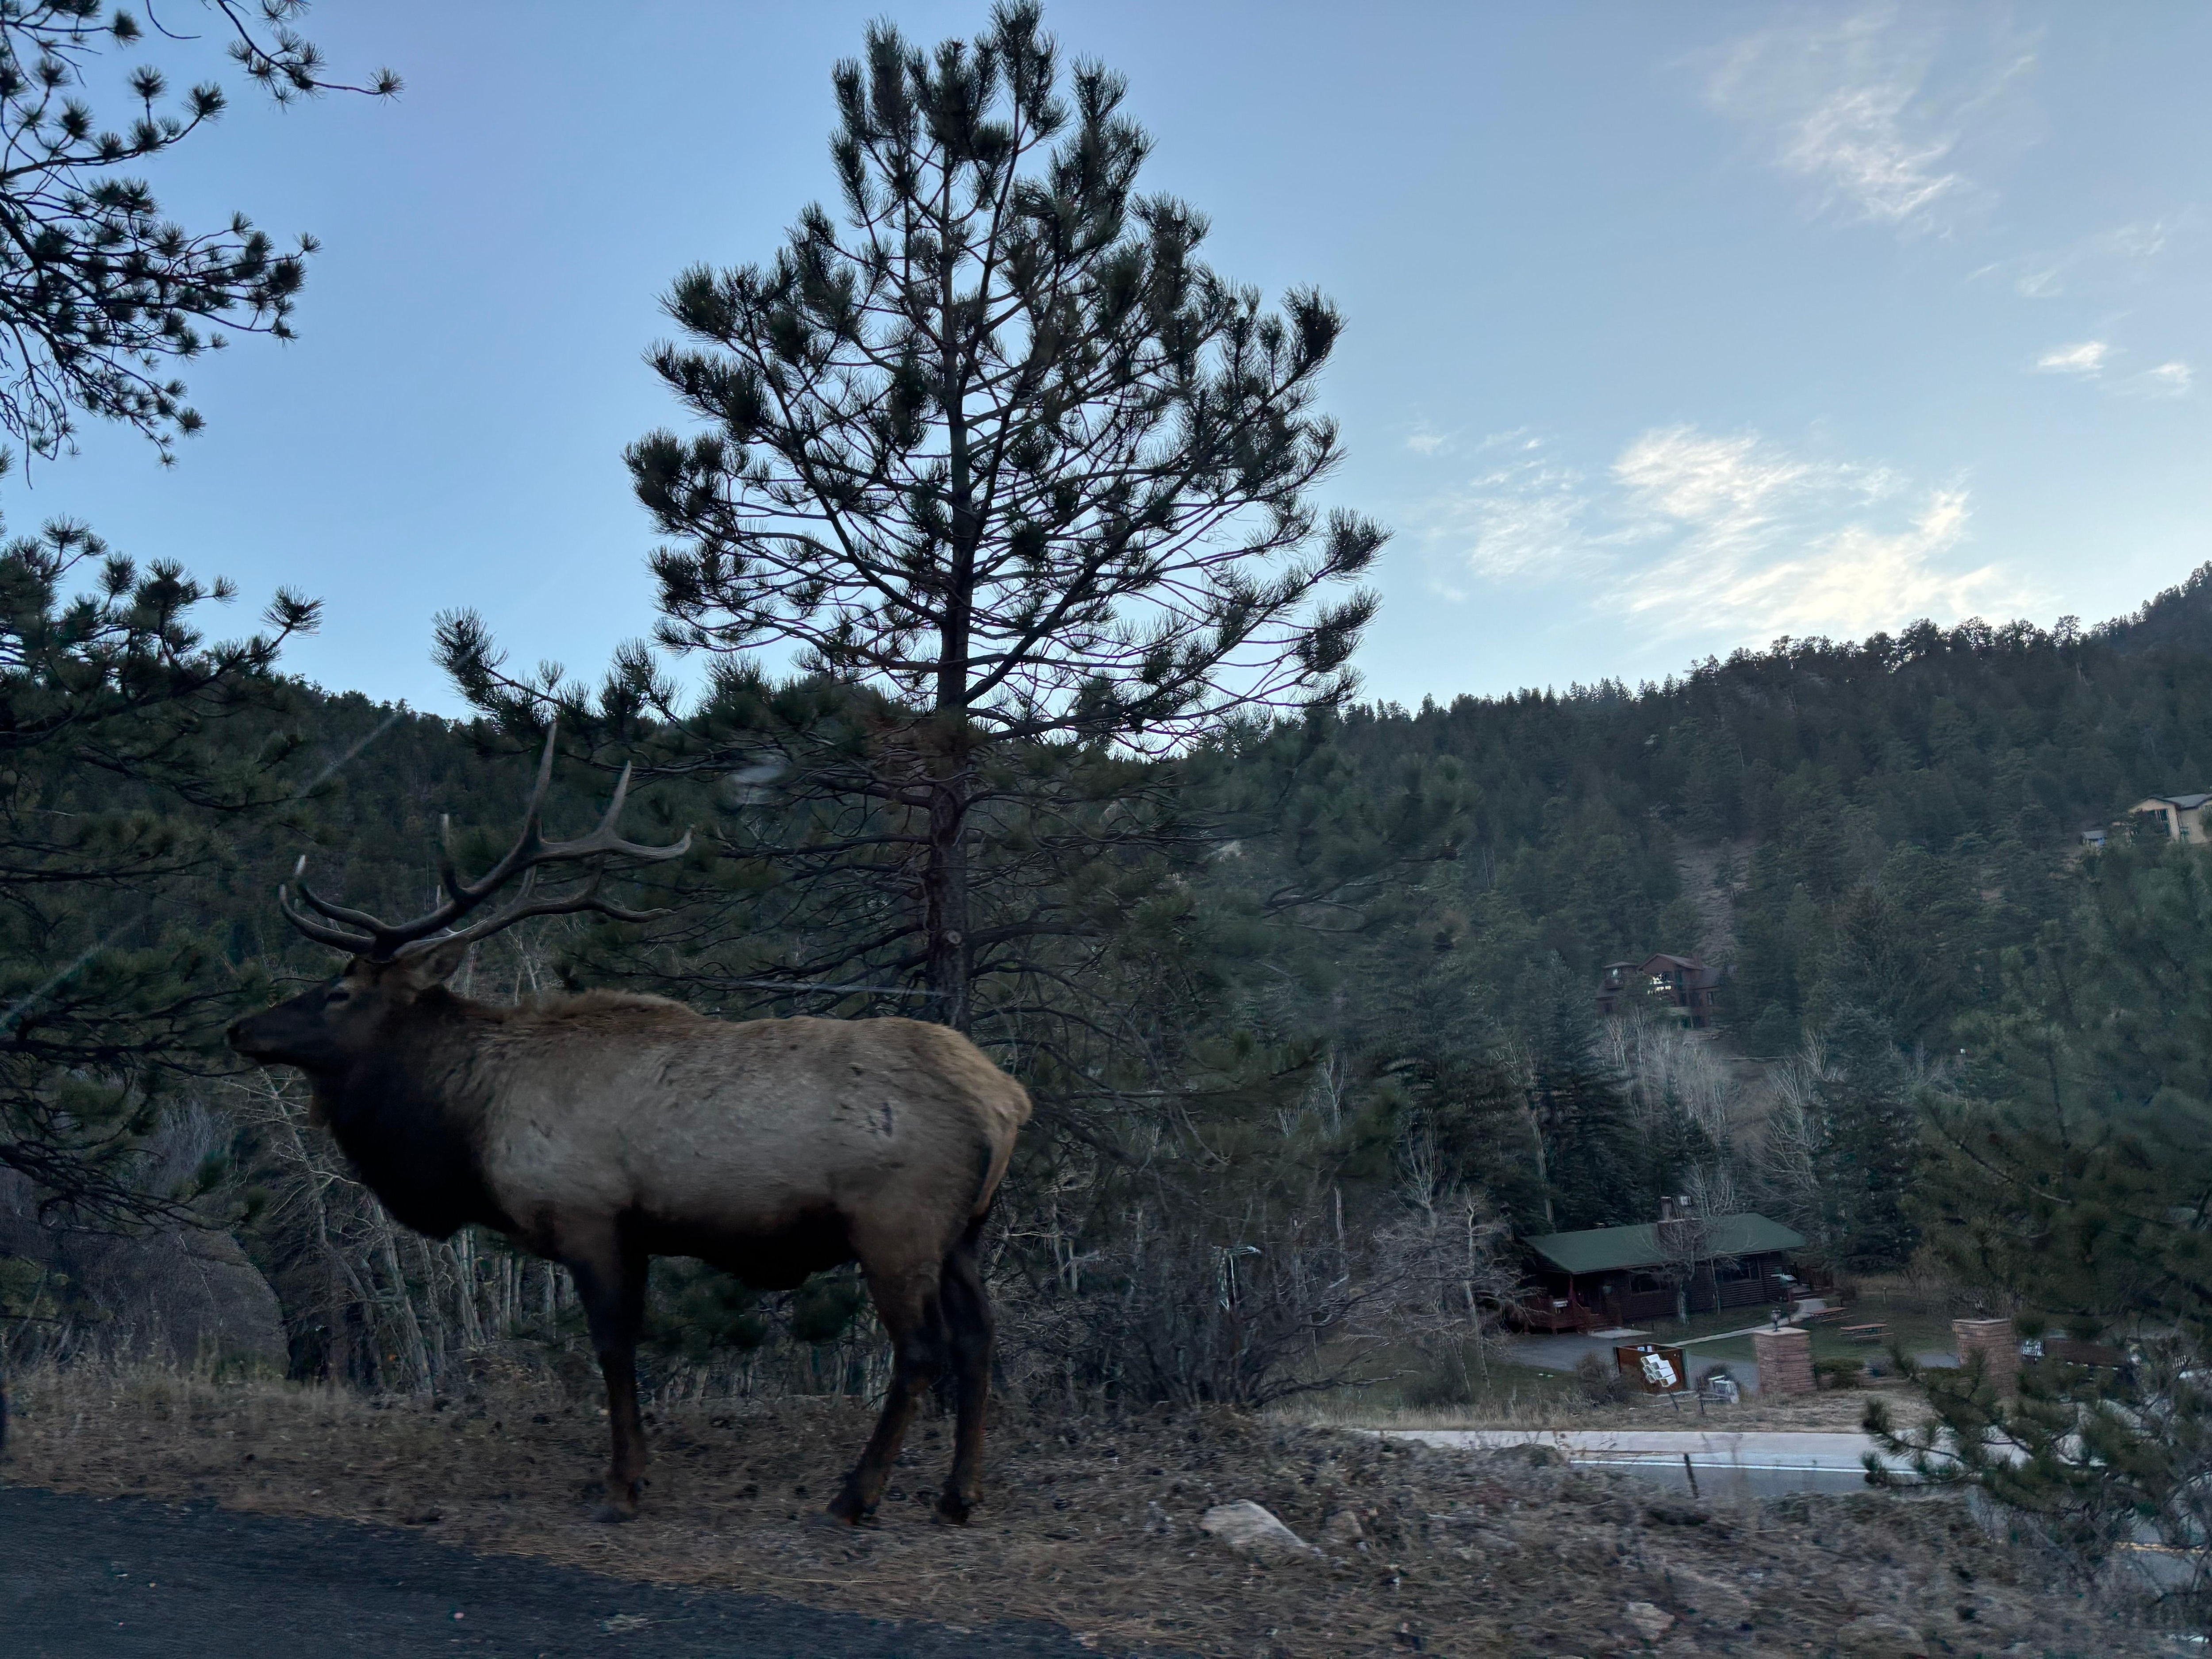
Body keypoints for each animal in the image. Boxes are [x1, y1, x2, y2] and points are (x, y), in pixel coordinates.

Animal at [226, 733, 1030, 1527]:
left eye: (340, 992)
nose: (242, 1028)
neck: (472, 1119)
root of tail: (1007, 1102)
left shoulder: (589, 1214)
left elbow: (612, 1348)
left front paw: (621, 1485)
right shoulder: (638, 1231)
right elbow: (631, 1346)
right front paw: (633, 1471)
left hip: (896, 1223)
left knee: (922, 1350)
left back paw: (856, 1495)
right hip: (965, 1230)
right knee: (980, 1338)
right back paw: (959, 1494)